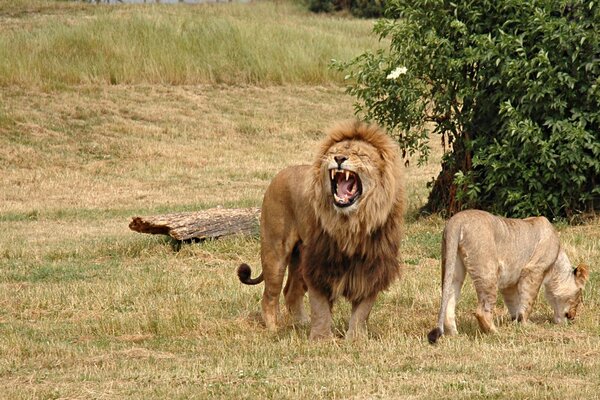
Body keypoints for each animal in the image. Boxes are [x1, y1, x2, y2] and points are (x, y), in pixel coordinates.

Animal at [238, 120, 404, 340]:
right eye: (334, 152)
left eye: (360, 154)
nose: (339, 158)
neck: (351, 224)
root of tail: (280, 173)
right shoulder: (319, 263)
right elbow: (320, 308)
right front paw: (321, 339)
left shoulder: (373, 266)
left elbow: (362, 310)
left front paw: (356, 339)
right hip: (275, 251)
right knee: (270, 295)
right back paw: (274, 329)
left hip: (299, 256)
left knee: (291, 292)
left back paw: (301, 324)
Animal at [426, 209, 592, 344]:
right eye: (579, 296)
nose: (572, 316)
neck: (557, 262)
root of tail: (457, 220)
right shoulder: (533, 271)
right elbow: (528, 301)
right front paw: (526, 325)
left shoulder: (510, 282)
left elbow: (514, 303)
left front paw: (515, 322)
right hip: (488, 271)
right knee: (482, 311)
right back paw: (495, 333)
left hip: (453, 266)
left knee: (449, 298)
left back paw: (455, 335)